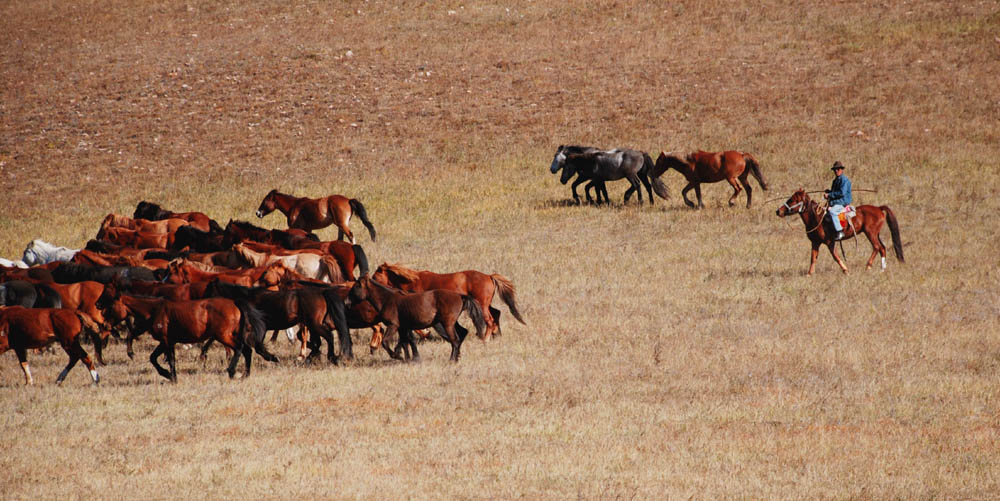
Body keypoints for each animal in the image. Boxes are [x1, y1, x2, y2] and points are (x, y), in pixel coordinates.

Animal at [350, 276, 486, 362]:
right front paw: (407, 358)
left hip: (447, 324)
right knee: (462, 333)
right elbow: (405, 341)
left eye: (357, 286)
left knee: (455, 340)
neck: (387, 299)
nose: (347, 302)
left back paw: (452, 359)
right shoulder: (403, 327)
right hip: (452, 323)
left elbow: (387, 342)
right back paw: (457, 357)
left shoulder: (393, 325)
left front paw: (397, 356)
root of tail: (460, 296)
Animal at [370, 262, 524, 340]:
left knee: (490, 320)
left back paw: (485, 339)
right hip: (486, 304)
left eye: (375, 276)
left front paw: (426, 334)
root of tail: (488, 276)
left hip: (482, 305)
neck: (412, 281)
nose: (370, 284)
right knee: (496, 314)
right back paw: (495, 335)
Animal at [772, 188, 908, 276]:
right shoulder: (815, 242)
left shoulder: (829, 242)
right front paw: (809, 274)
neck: (817, 218)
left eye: (792, 200)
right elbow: (813, 258)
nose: (778, 211)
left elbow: (835, 256)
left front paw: (845, 270)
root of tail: (879, 208)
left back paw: (868, 266)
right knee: (882, 248)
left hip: (871, 233)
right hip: (875, 234)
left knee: (876, 247)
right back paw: (882, 269)